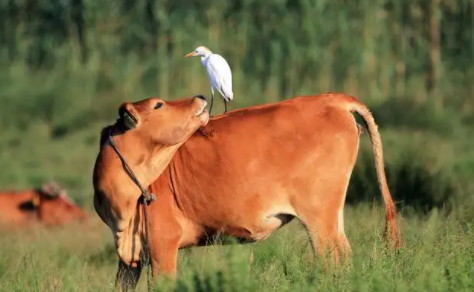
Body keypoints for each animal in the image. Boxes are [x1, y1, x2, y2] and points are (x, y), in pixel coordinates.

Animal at [92, 92, 400, 290]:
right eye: (158, 105)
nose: (200, 96)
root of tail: (332, 98)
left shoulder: (163, 243)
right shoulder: (131, 257)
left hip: (318, 217)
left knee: (333, 260)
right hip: (333, 216)